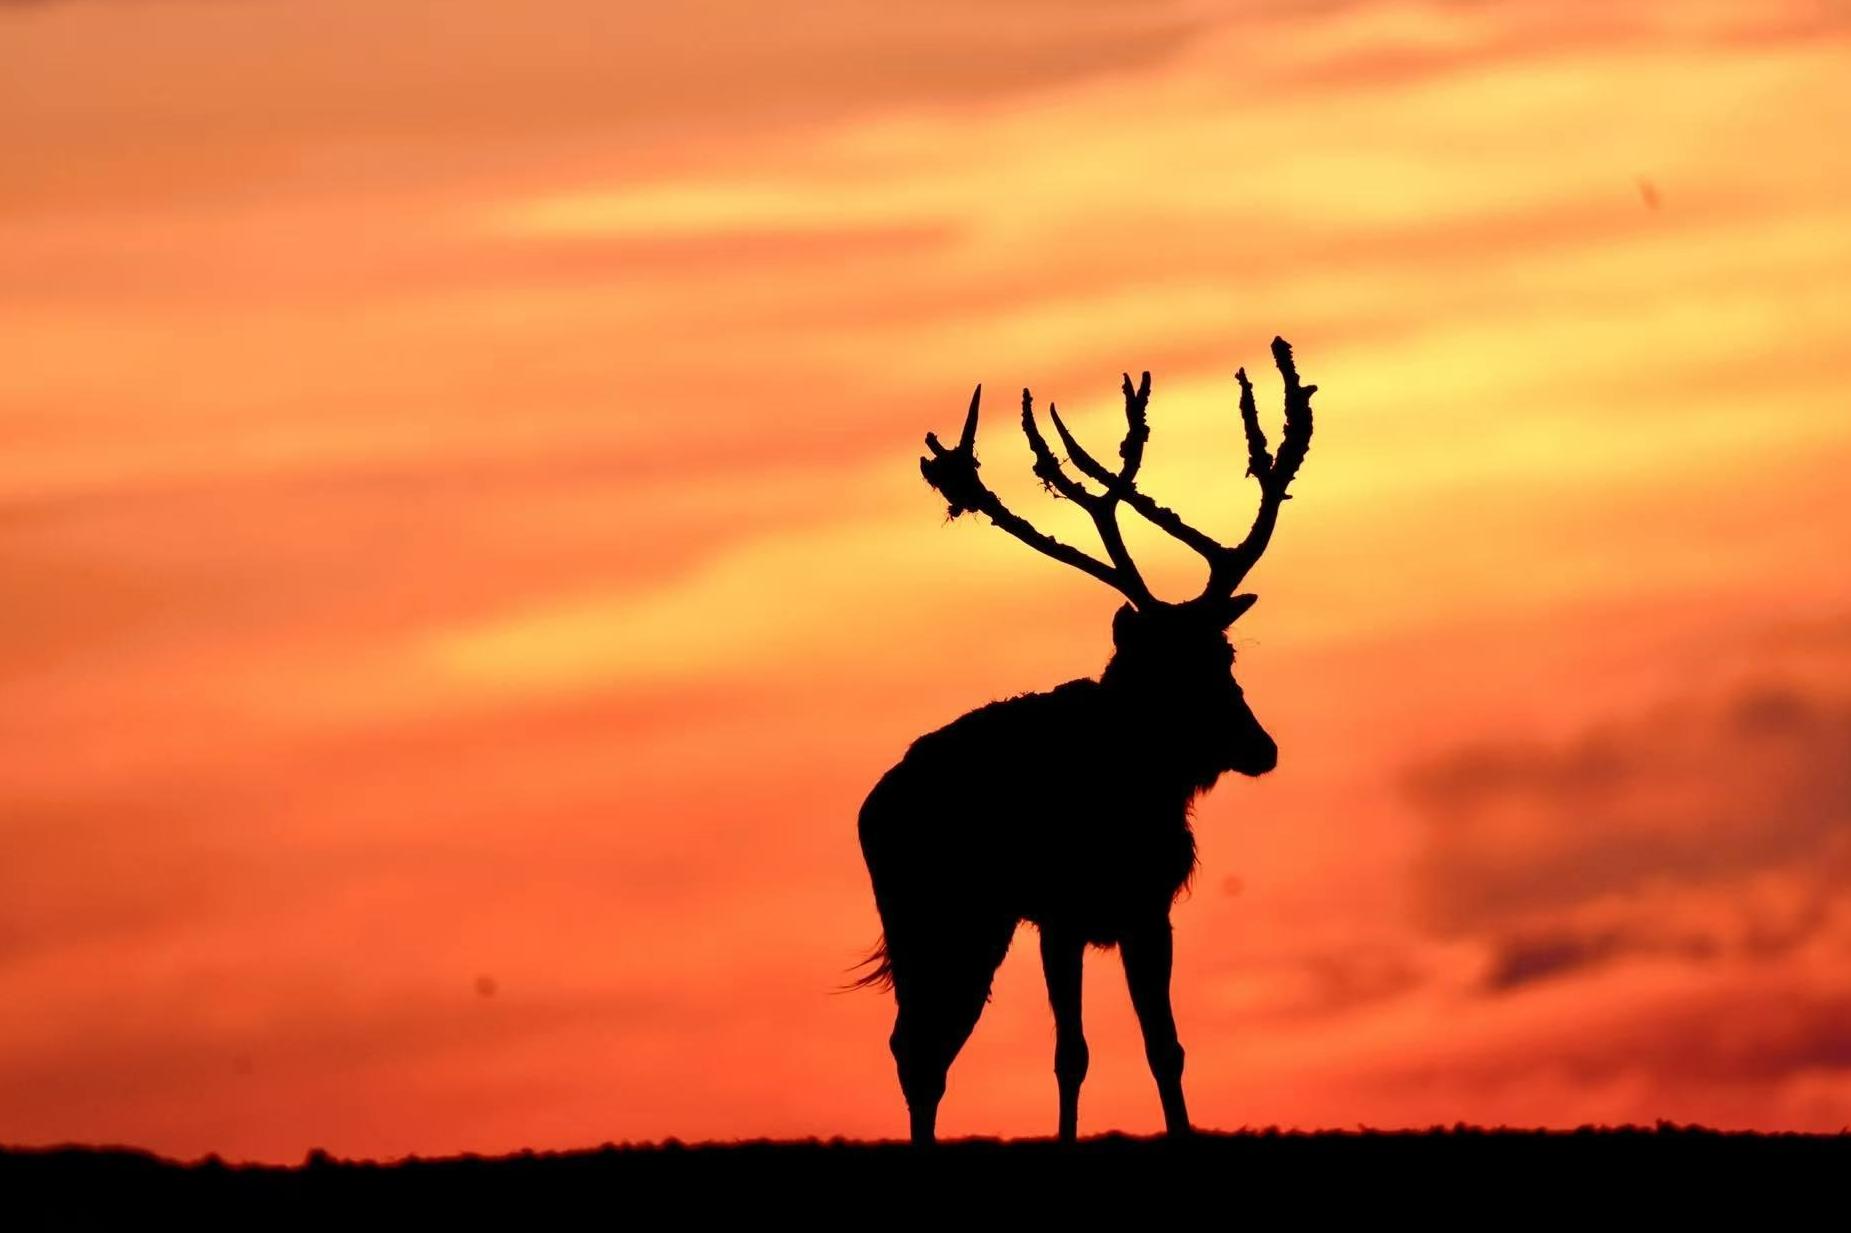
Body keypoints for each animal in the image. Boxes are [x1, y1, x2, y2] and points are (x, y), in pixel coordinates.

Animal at [854, 337, 1315, 1145]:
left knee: (921, 1043)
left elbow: (1165, 1047)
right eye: (1169, 669)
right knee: (917, 1047)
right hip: (938, 914)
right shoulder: (1062, 911)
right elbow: (1071, 1053)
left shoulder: (1146, 907)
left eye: (1225, 654)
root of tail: (868, 812)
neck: (1134, 782)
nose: (1262, 747)